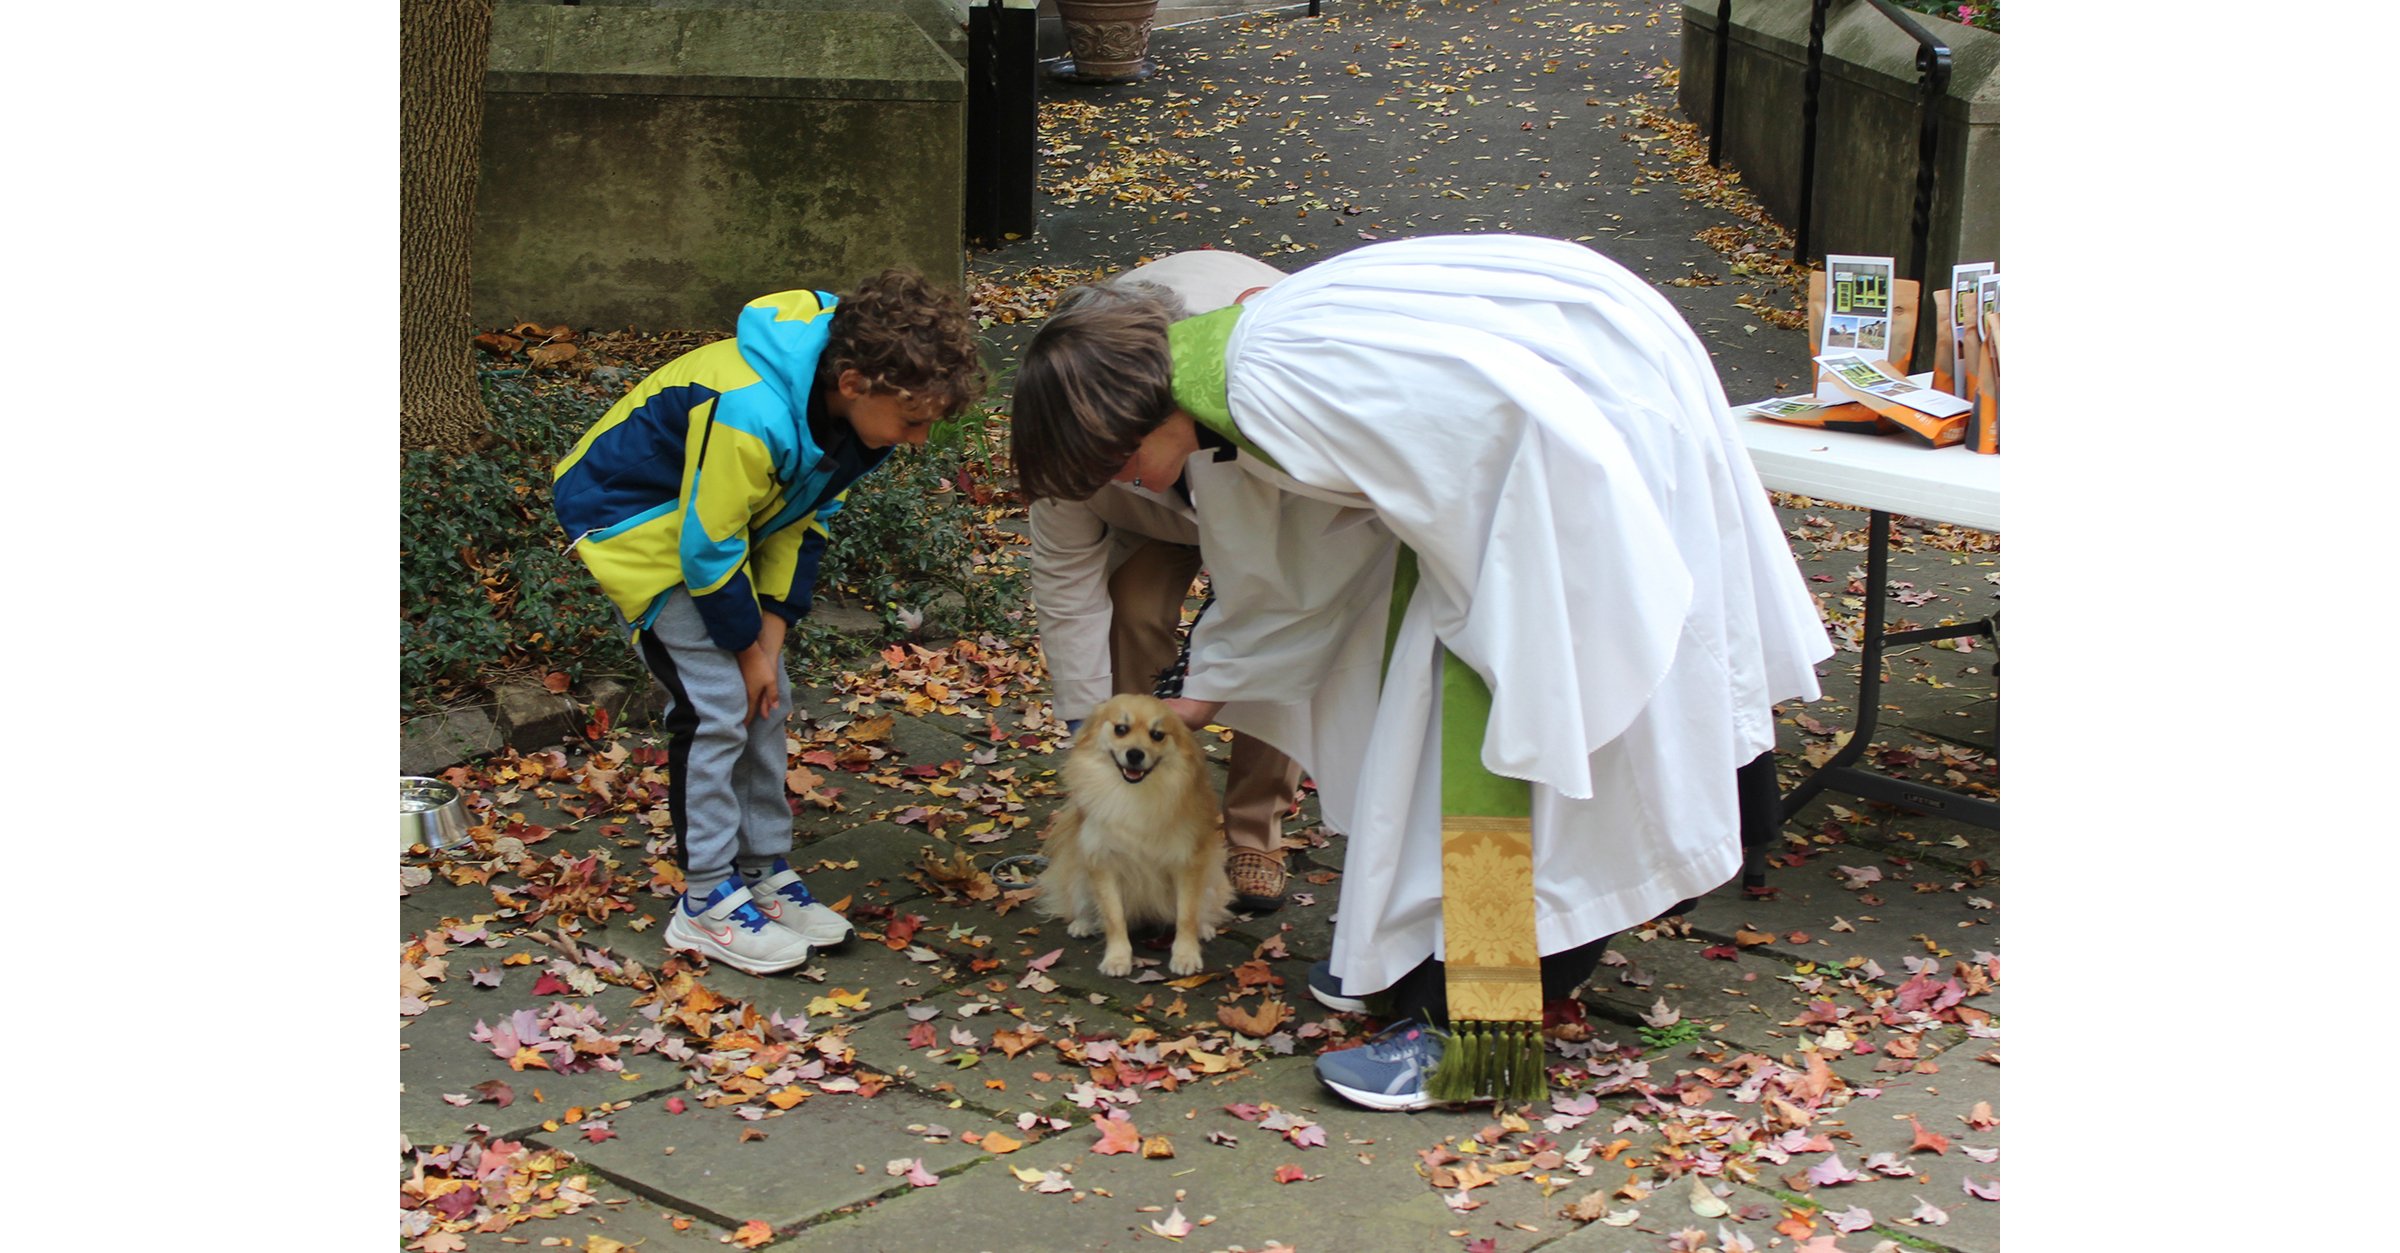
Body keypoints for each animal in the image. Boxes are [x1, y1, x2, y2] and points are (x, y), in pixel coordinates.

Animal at [1036, 691, 1228, 974]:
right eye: (1121, 729)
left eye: (1157, 735)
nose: (1135, 754)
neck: (1132, 793)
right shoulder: (1103, 863)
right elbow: (1113, 917)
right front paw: (1117, 958)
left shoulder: (1187, 863)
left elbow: (1187, 915)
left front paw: (1186, 955)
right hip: (1079, 876)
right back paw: (1083, 922)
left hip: (1212, 873)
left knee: (1205, 906)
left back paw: (1205, 927)